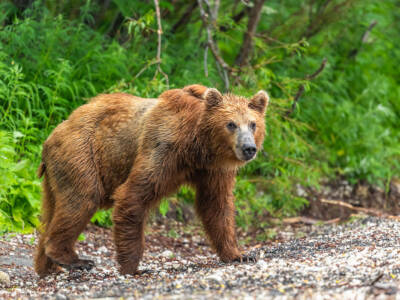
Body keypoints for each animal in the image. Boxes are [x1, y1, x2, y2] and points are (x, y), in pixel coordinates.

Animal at [34, 84, 270, 276]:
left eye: (253, 124)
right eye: (231, 124)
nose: (249, 148)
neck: (197, 147)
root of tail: (50, 137)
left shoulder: (213, 170)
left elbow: (216, 205)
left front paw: (239, 254)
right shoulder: (163, 148)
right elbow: (133, 195)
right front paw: (133, 268)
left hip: (57, 174)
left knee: (53, 210)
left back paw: (47, 266)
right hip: (81, 155)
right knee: (82, 199)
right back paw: (74, 259)